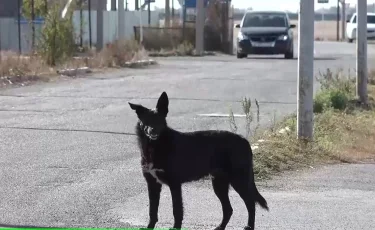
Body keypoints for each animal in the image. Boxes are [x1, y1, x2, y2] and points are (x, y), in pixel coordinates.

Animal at [129, 91, 268, 230]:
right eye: (146, 120)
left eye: (159, 120)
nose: (153, 130)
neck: (155, 146)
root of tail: (245, 140)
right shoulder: (153, 184)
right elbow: (152, 210)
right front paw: (149, 226)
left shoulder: (175, 184)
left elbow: (177, 210)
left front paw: (176, 227)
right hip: (219, 184)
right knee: (229, 209)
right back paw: (220, 227)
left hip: (239, 180)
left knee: (250, 203)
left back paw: (249, 226)